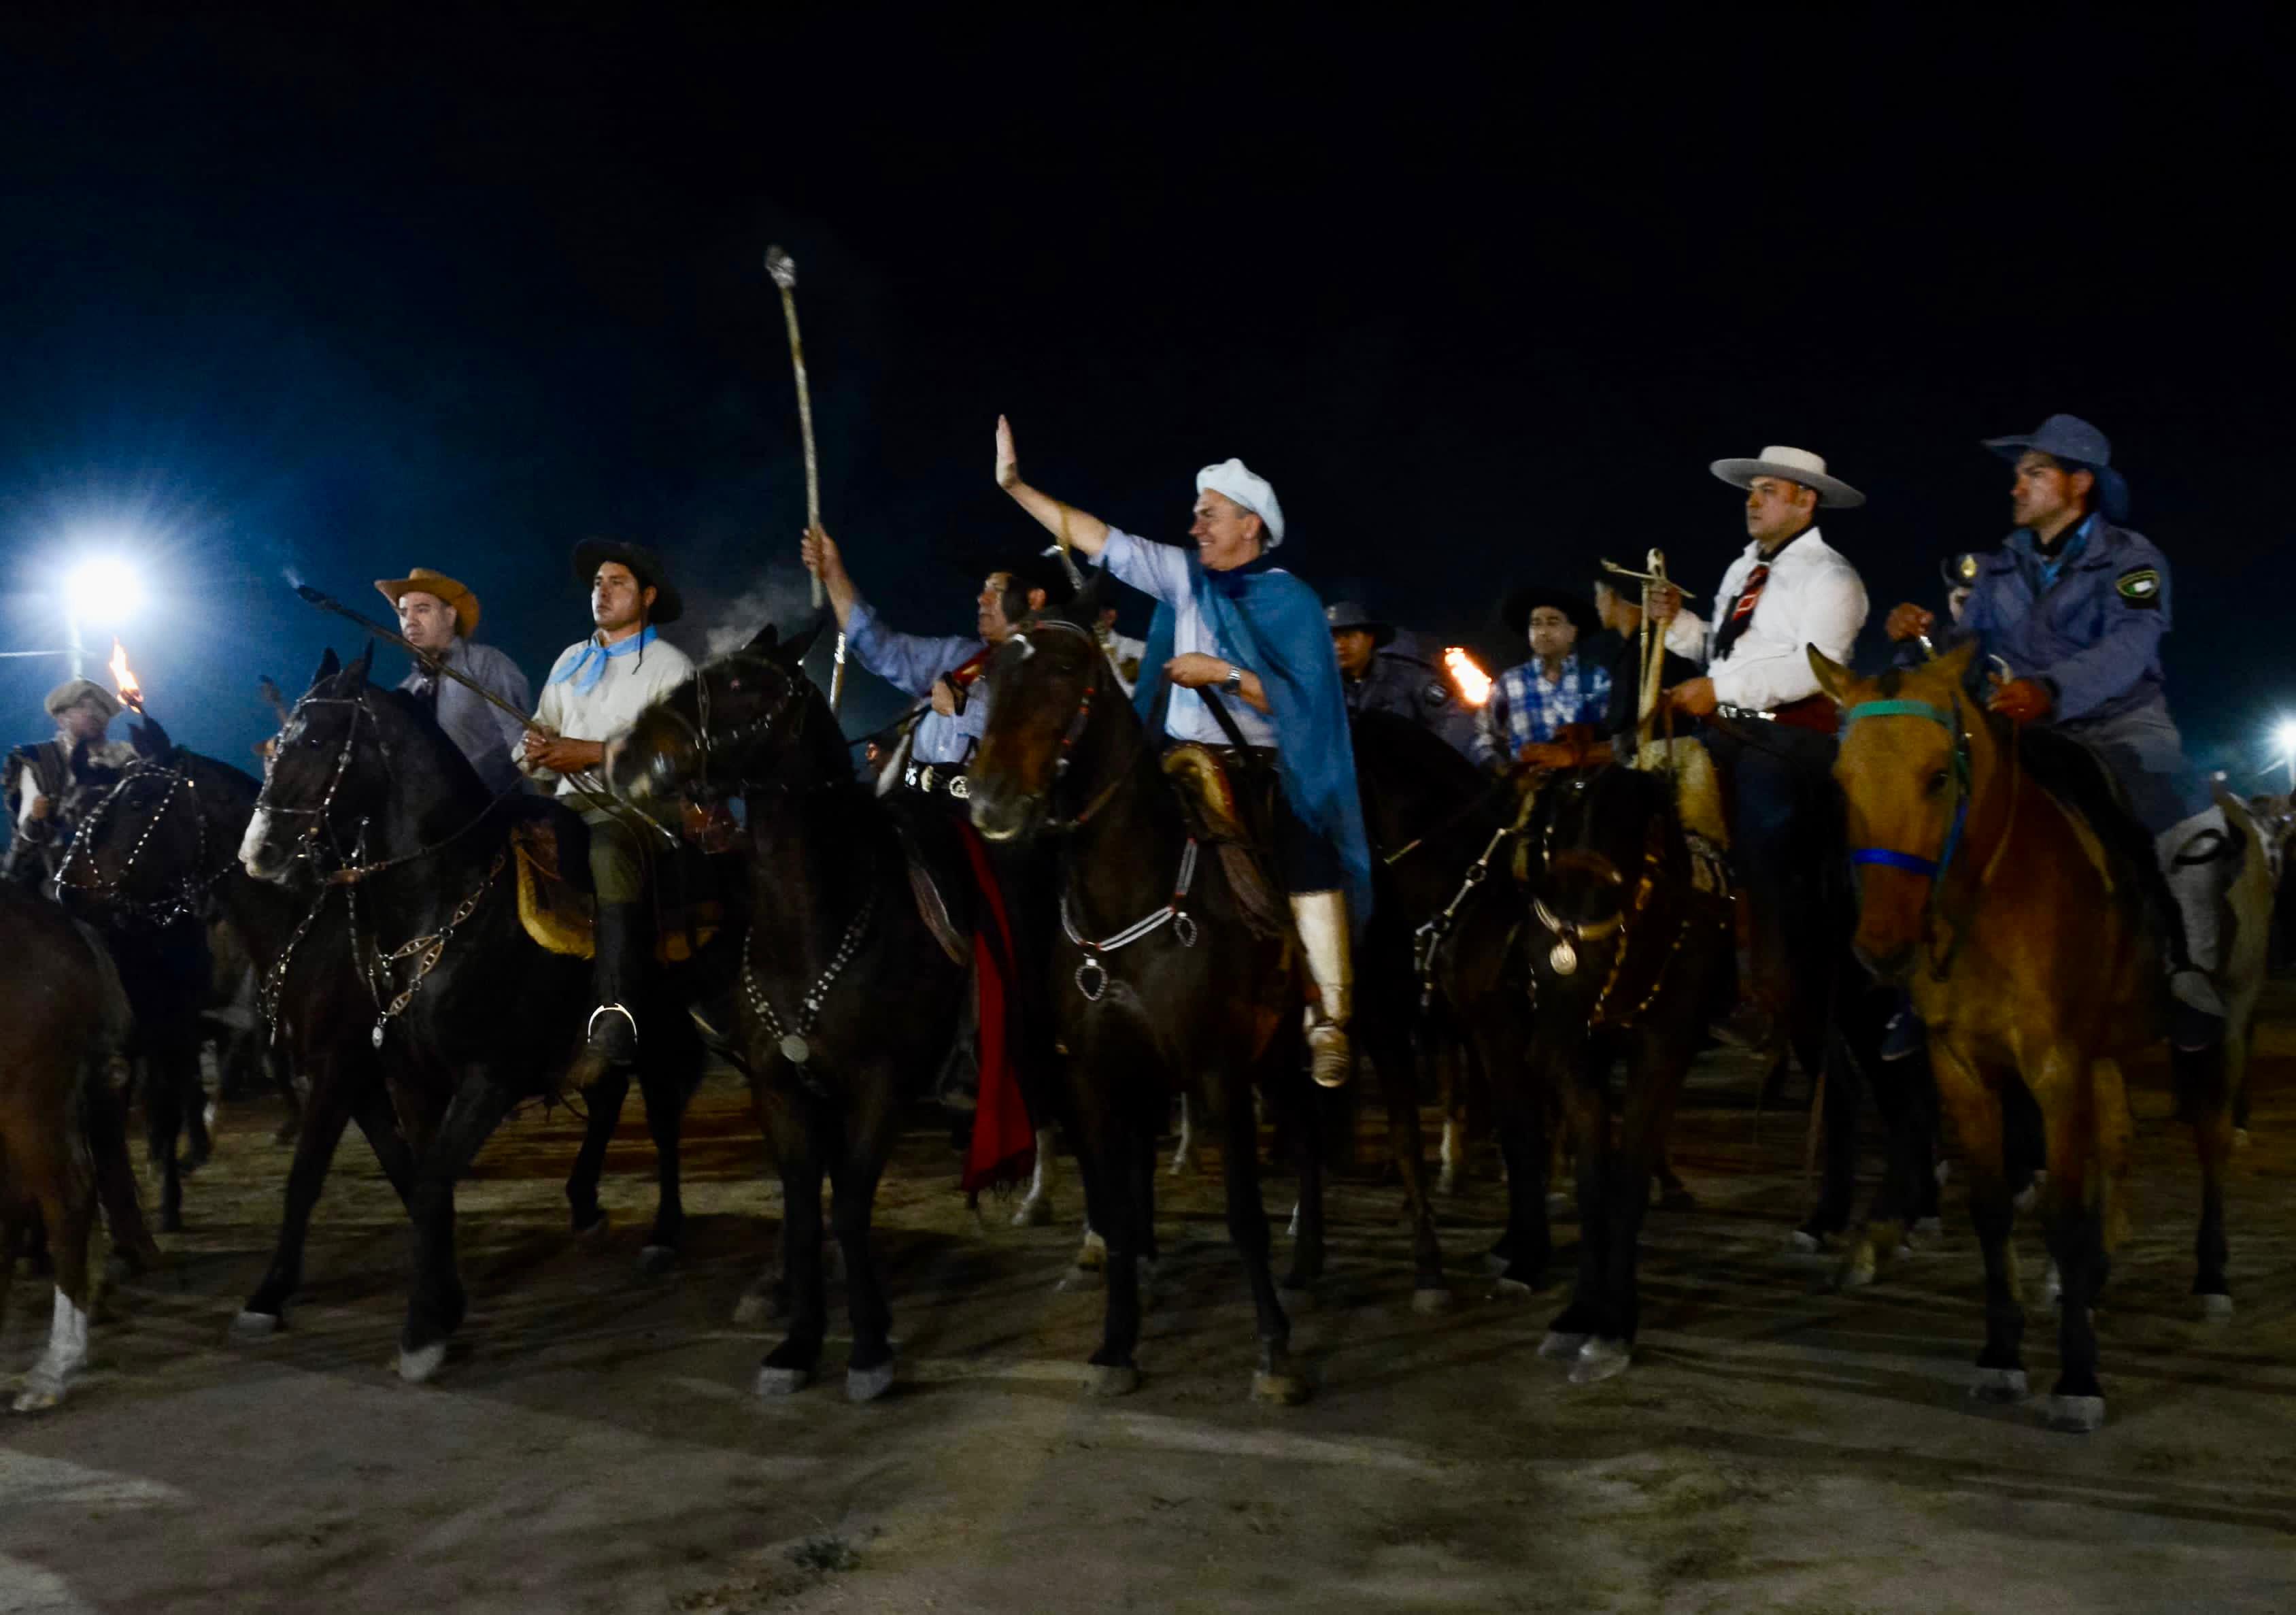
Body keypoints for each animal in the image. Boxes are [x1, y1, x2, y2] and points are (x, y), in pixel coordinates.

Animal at [601, 620, 968, 1405]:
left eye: (742, 684)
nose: (623, 755)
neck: (817, 928)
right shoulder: (780, 1089)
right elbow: (803, 1208)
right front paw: (798, 1340)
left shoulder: (879, 1089)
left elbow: (850, 1204)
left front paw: (868, 1348)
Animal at [968, 581, 1332, 1405]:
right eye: (993, 676)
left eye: (1066, 670)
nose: (991, 800)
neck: (1128, 905)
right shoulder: (1098, 1078)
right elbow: (1115, 1207)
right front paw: (1116, 1343)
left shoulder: (1218, 1071)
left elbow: (1242, 1213)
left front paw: (1273, 1351)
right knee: (1302, 1127)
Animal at [1809, 638, 2277, 1433]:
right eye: (1843, 783)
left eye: (1939, 776)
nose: (1880, 948)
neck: (1996, 891)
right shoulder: (1962, 1067)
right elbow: (1994, 1207)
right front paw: (2002, 1353)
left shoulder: (2055, 1065)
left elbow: (2060, 1209)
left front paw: (2078, 1377)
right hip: (2107, 1050)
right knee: (2116, 1141)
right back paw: (2090, 1275)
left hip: (2228, 1026)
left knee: (2211, 1140)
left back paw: (2209, 1277)